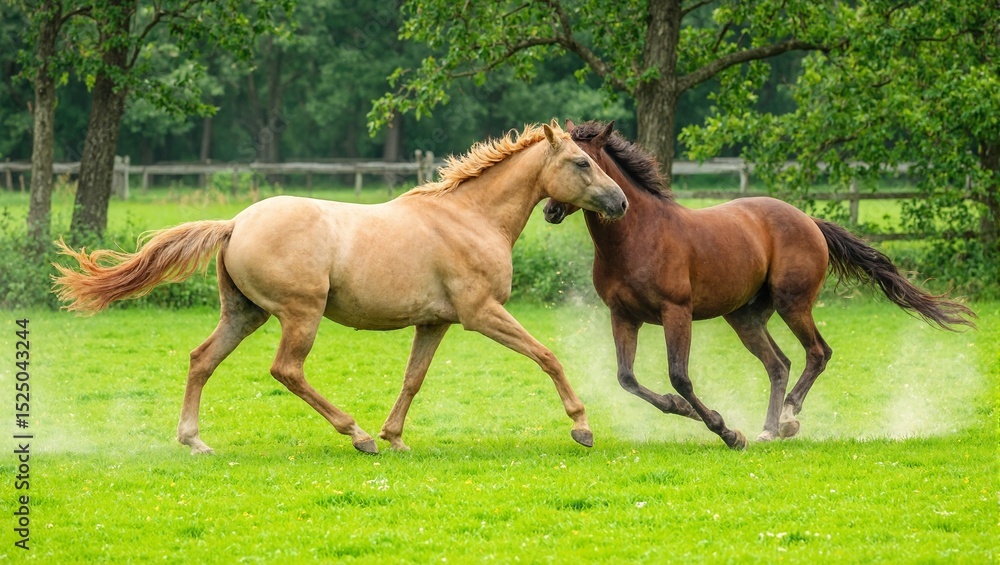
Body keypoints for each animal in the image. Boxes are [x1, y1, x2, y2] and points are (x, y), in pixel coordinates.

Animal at [53, 120, 628, 455]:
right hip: (300, 313)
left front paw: (397, 438)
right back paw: (356, 435)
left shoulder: (435, 322)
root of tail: (235, 222)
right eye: (581, 162)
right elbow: (547, 355)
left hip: (244, 314)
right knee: (286, 370)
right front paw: (582, 427)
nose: (620, 202)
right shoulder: (481, 313)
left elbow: (413, 379)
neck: (470, 218)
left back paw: (195, 442)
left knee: (201, 360)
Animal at [543, 120, 976, 450]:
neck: (636, 236)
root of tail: (809, 220)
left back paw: (787, 419)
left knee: (817, 353)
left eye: (584, 162)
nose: (549, 210)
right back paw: (768, 429)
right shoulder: (623, 316)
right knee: (779, 364)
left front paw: (727, 431)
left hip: (792, 303)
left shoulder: (676, 312)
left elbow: (679, 376)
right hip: (746, 318)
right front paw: (686, 411)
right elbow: (628, 379)